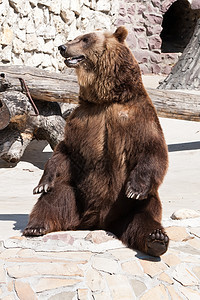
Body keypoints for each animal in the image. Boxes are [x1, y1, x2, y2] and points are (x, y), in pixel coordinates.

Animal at [23, 25, 170, 256]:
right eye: (74, 37)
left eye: (85, 39)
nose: (62, 47)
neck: (106, 97)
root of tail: (98, 221)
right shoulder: (83, 119)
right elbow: (64, 150)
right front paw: (42, 184)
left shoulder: (137, 115)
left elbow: (152, 149)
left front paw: (134, 189)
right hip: (76, 197)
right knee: (55, 197)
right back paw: (36, 226)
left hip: (131, 206)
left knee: (144, 214)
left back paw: (156, 239)